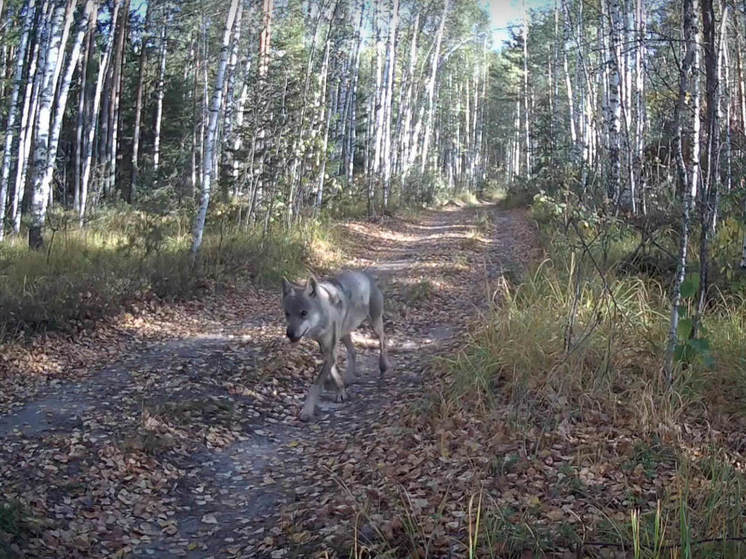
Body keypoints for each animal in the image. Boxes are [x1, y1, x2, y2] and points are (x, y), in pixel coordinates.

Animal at [282, 270, 392, 420]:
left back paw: (383, 366)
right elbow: (334, 374)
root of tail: (365, 274)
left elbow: (316, 385)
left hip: (375, 324)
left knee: (383, 340)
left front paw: (307, 411)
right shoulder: (326, 350)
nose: (289, 334)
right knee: (353, 352)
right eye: (287, 314)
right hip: (345, 334)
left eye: (304, 313)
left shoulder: (331, 351)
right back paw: (349, 378)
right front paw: (341, 391)